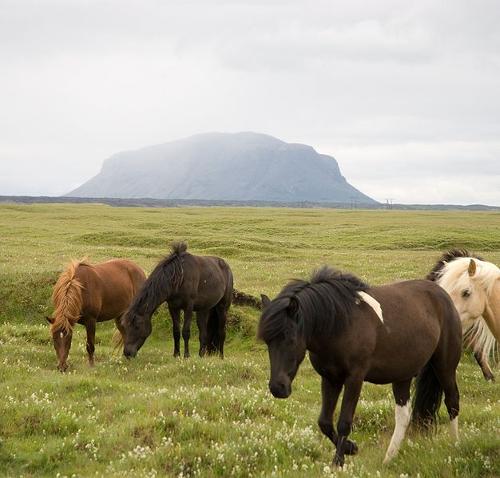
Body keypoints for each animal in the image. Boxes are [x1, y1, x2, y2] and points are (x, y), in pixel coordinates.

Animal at [260, 268, 462, 466]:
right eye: (268, 342)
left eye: (291, 339)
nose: (278, 388)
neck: (340, 324)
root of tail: (442, 294)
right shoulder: (330, 378)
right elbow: (324, 422)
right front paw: (351, 448)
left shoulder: (354, 379)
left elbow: (344, 422)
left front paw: (338, 462)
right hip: (402, 375)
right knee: (403, 416)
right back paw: (389, 458)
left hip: (444, 366)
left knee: (452, 402)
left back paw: (455, 446)